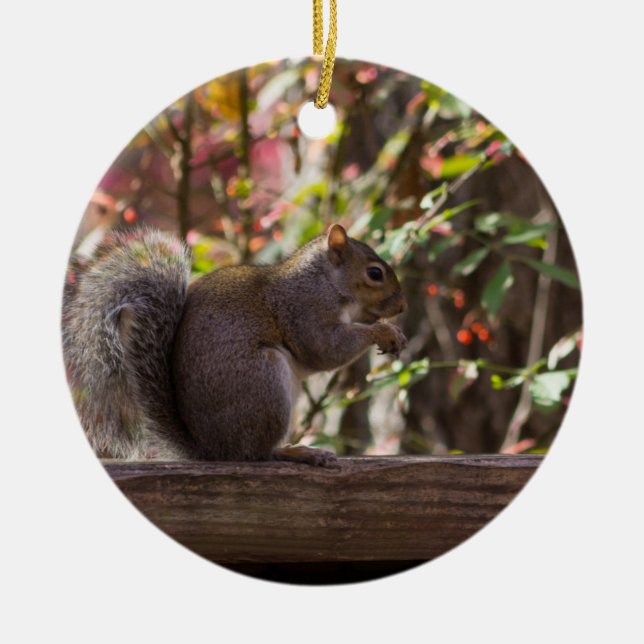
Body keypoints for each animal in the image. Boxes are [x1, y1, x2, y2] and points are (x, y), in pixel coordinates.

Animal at [62, 224, 407, 466]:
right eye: (374, 273)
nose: (401, 307)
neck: (324, 280)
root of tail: (212, 449)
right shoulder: (305, 310)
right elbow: (324, 349)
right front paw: (382, 331)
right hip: (264, 382)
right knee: (256, 454)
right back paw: (297, 453)